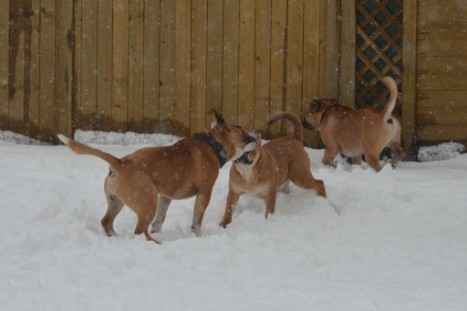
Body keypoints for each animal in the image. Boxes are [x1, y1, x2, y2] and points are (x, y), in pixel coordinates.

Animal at [59, 112, 258, 244]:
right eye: (243, 135)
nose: (255, 138)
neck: (213, 144)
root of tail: (120, 162)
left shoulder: (165, 196)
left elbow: (159, 220)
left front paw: (158, 230)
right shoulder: (204, 192)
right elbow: (197, 220)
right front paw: (198, 237)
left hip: (117, 202)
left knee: (107, 222)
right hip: (147, 202)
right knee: (140, 230)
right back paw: (155, 244)